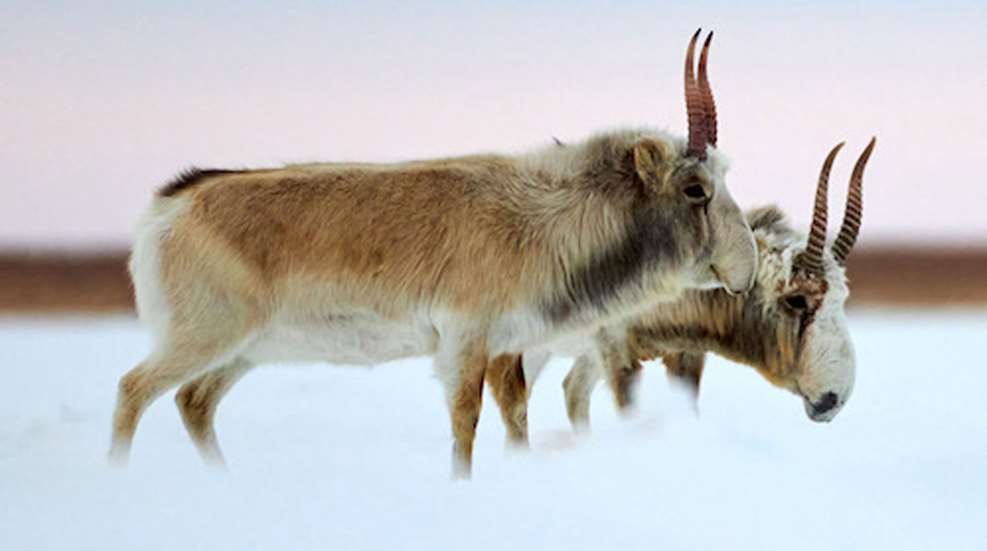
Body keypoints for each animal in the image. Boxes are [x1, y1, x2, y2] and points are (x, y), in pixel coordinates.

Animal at [111, 30, 758, 478]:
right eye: (695, 188)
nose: (746, 268)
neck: (542, 216)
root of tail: (170, 208)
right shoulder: (465, 340)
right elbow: (465, 422)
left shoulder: (507, 347)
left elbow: (516, 415)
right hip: (204, 336)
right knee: (133, 390)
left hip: (244, 350)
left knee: (193, 401)